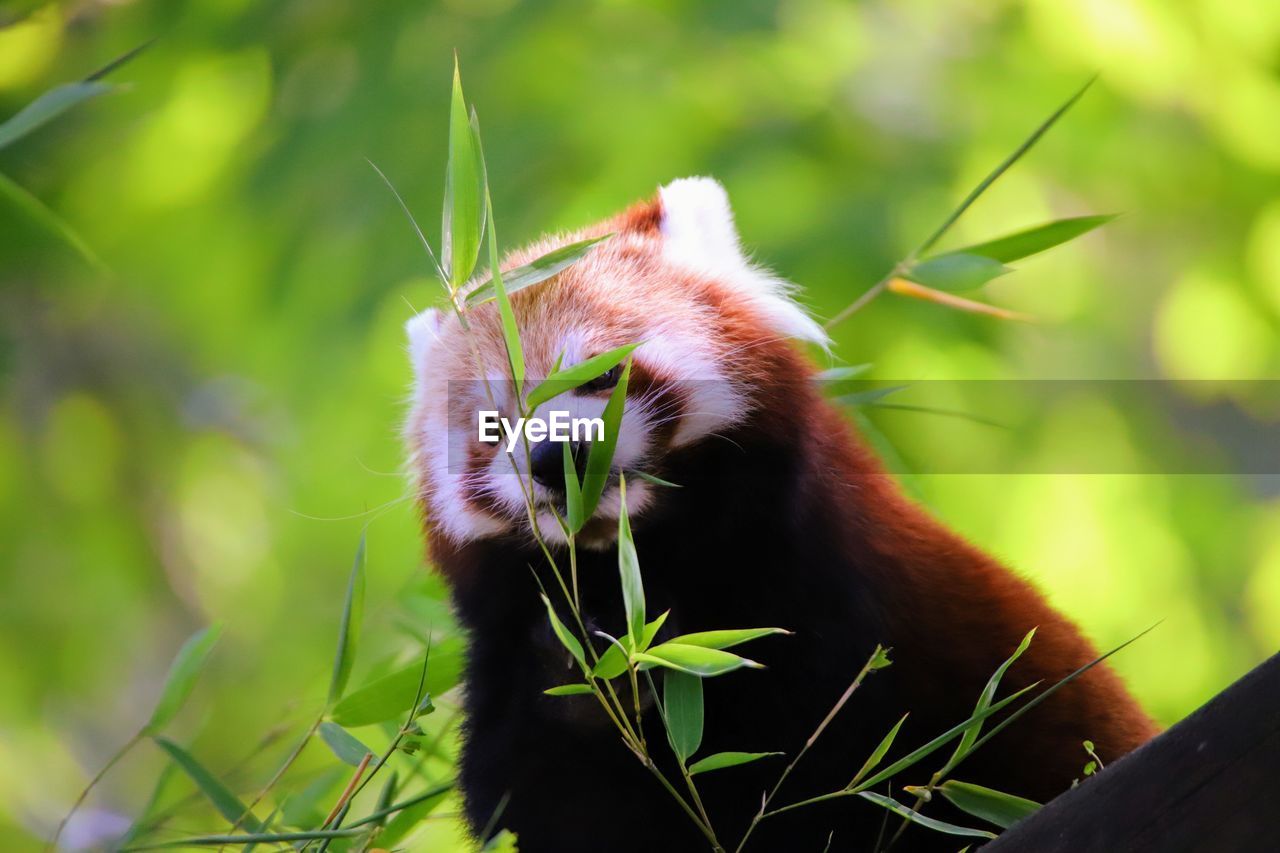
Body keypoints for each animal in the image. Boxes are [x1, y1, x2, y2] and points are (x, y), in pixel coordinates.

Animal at [401, 175, 1162, 845]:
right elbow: (548, 793)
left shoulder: (830, 599)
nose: (556, 456)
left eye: (604, 374)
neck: (641, 570)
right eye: (495, 424)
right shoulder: (514, 659)